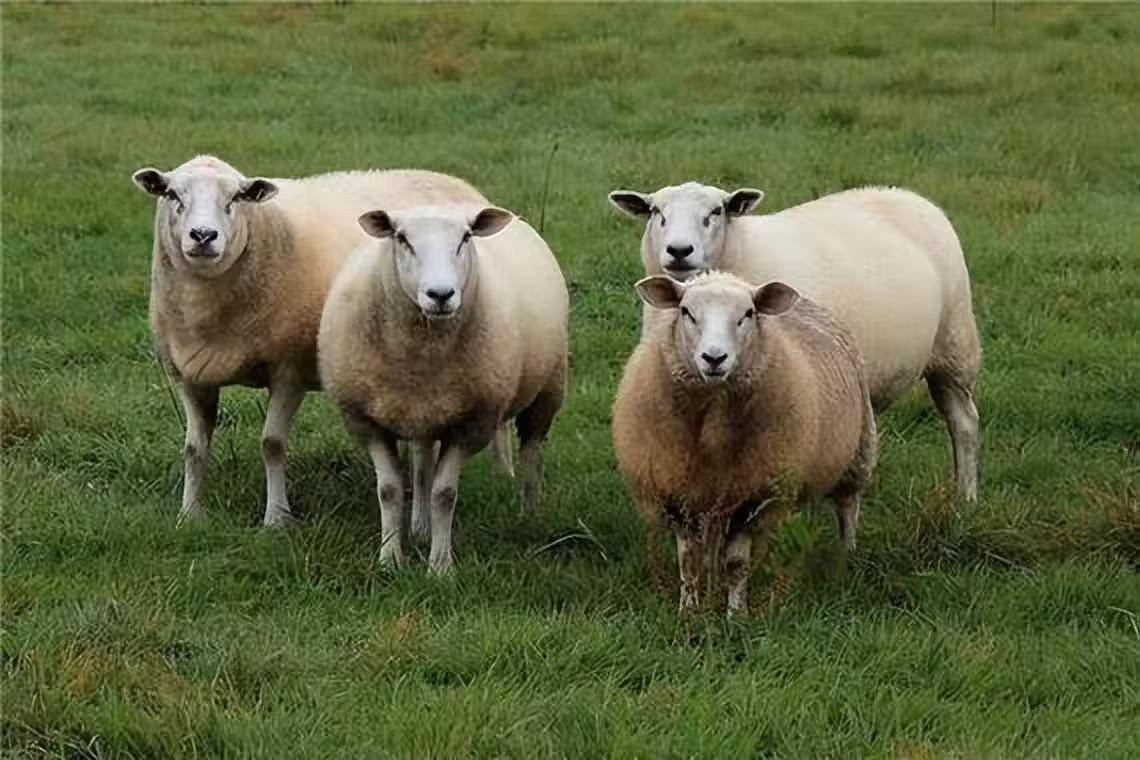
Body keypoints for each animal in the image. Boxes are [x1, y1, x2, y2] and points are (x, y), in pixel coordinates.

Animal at [132, 154, 492, 527]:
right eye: (172, 194)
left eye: (236, 198)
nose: (203, 235)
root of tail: (456, 182)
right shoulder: (189, 374)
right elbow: (193, 448)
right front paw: (189, 514)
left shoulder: (290, 370)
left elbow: (272, 444)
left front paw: (276, 517)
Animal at [317, 203, 569, 572]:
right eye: (401, 238)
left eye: (465, 238)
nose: (440, 295)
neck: (419, 356)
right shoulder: (365, 420)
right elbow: (390, 489)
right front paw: (390, 558)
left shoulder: (471, 424)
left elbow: (444, 494)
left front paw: (439, 566)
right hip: (424, 411)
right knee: (423, 463)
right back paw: (420, 526)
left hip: (548, 390)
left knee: (532, 454)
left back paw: (529, 517)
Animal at [608, 182, 980, 502]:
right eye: (656, 211)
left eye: (716, 211)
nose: (679, 250)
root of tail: (909, 194)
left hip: (955, 348)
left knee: (963, 423)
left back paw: (966, 499)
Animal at [611, 271, 877, 615]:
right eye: (686, 311)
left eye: (748, 314)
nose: (714, 358)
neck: (713, 426)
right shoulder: (679, 492)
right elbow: (689, 561)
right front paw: (688, 611)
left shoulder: (753, 496)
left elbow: (736, 564)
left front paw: (735, 614)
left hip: (858, 451)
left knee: (848, 506)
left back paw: (846, 555)